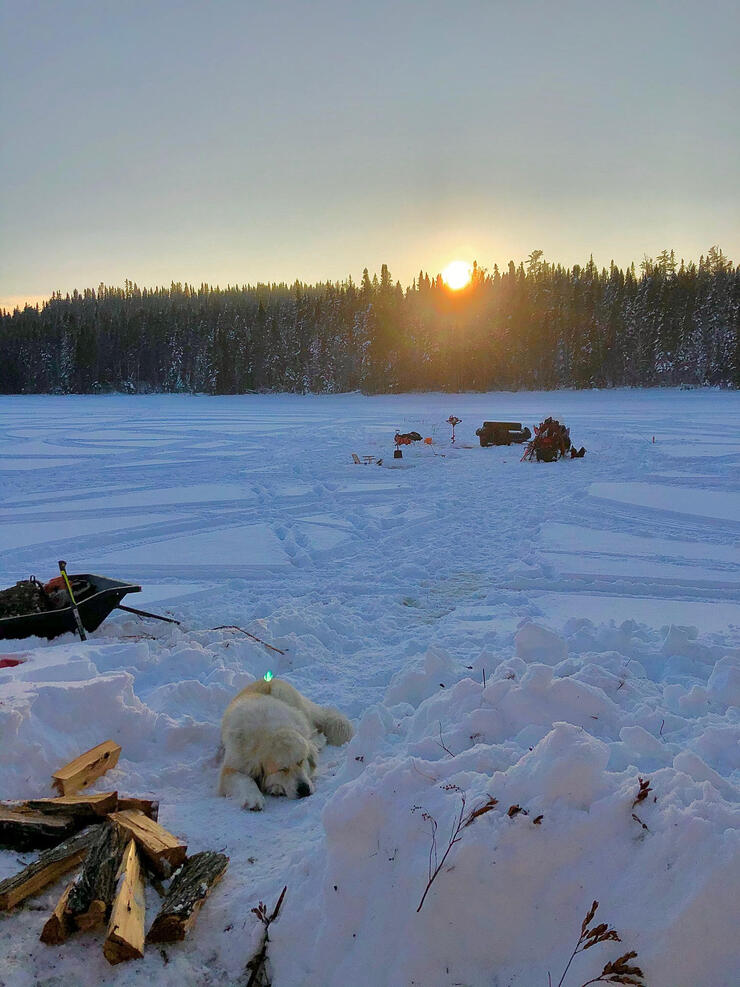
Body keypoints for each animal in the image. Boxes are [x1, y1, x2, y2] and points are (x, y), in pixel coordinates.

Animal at [218, 680, 354, 812]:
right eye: (282, 769)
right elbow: (245, 779)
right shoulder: (233, 766)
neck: (268, 730)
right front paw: (253, 798)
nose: (304, 789)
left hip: (287, 698)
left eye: (301, 761)